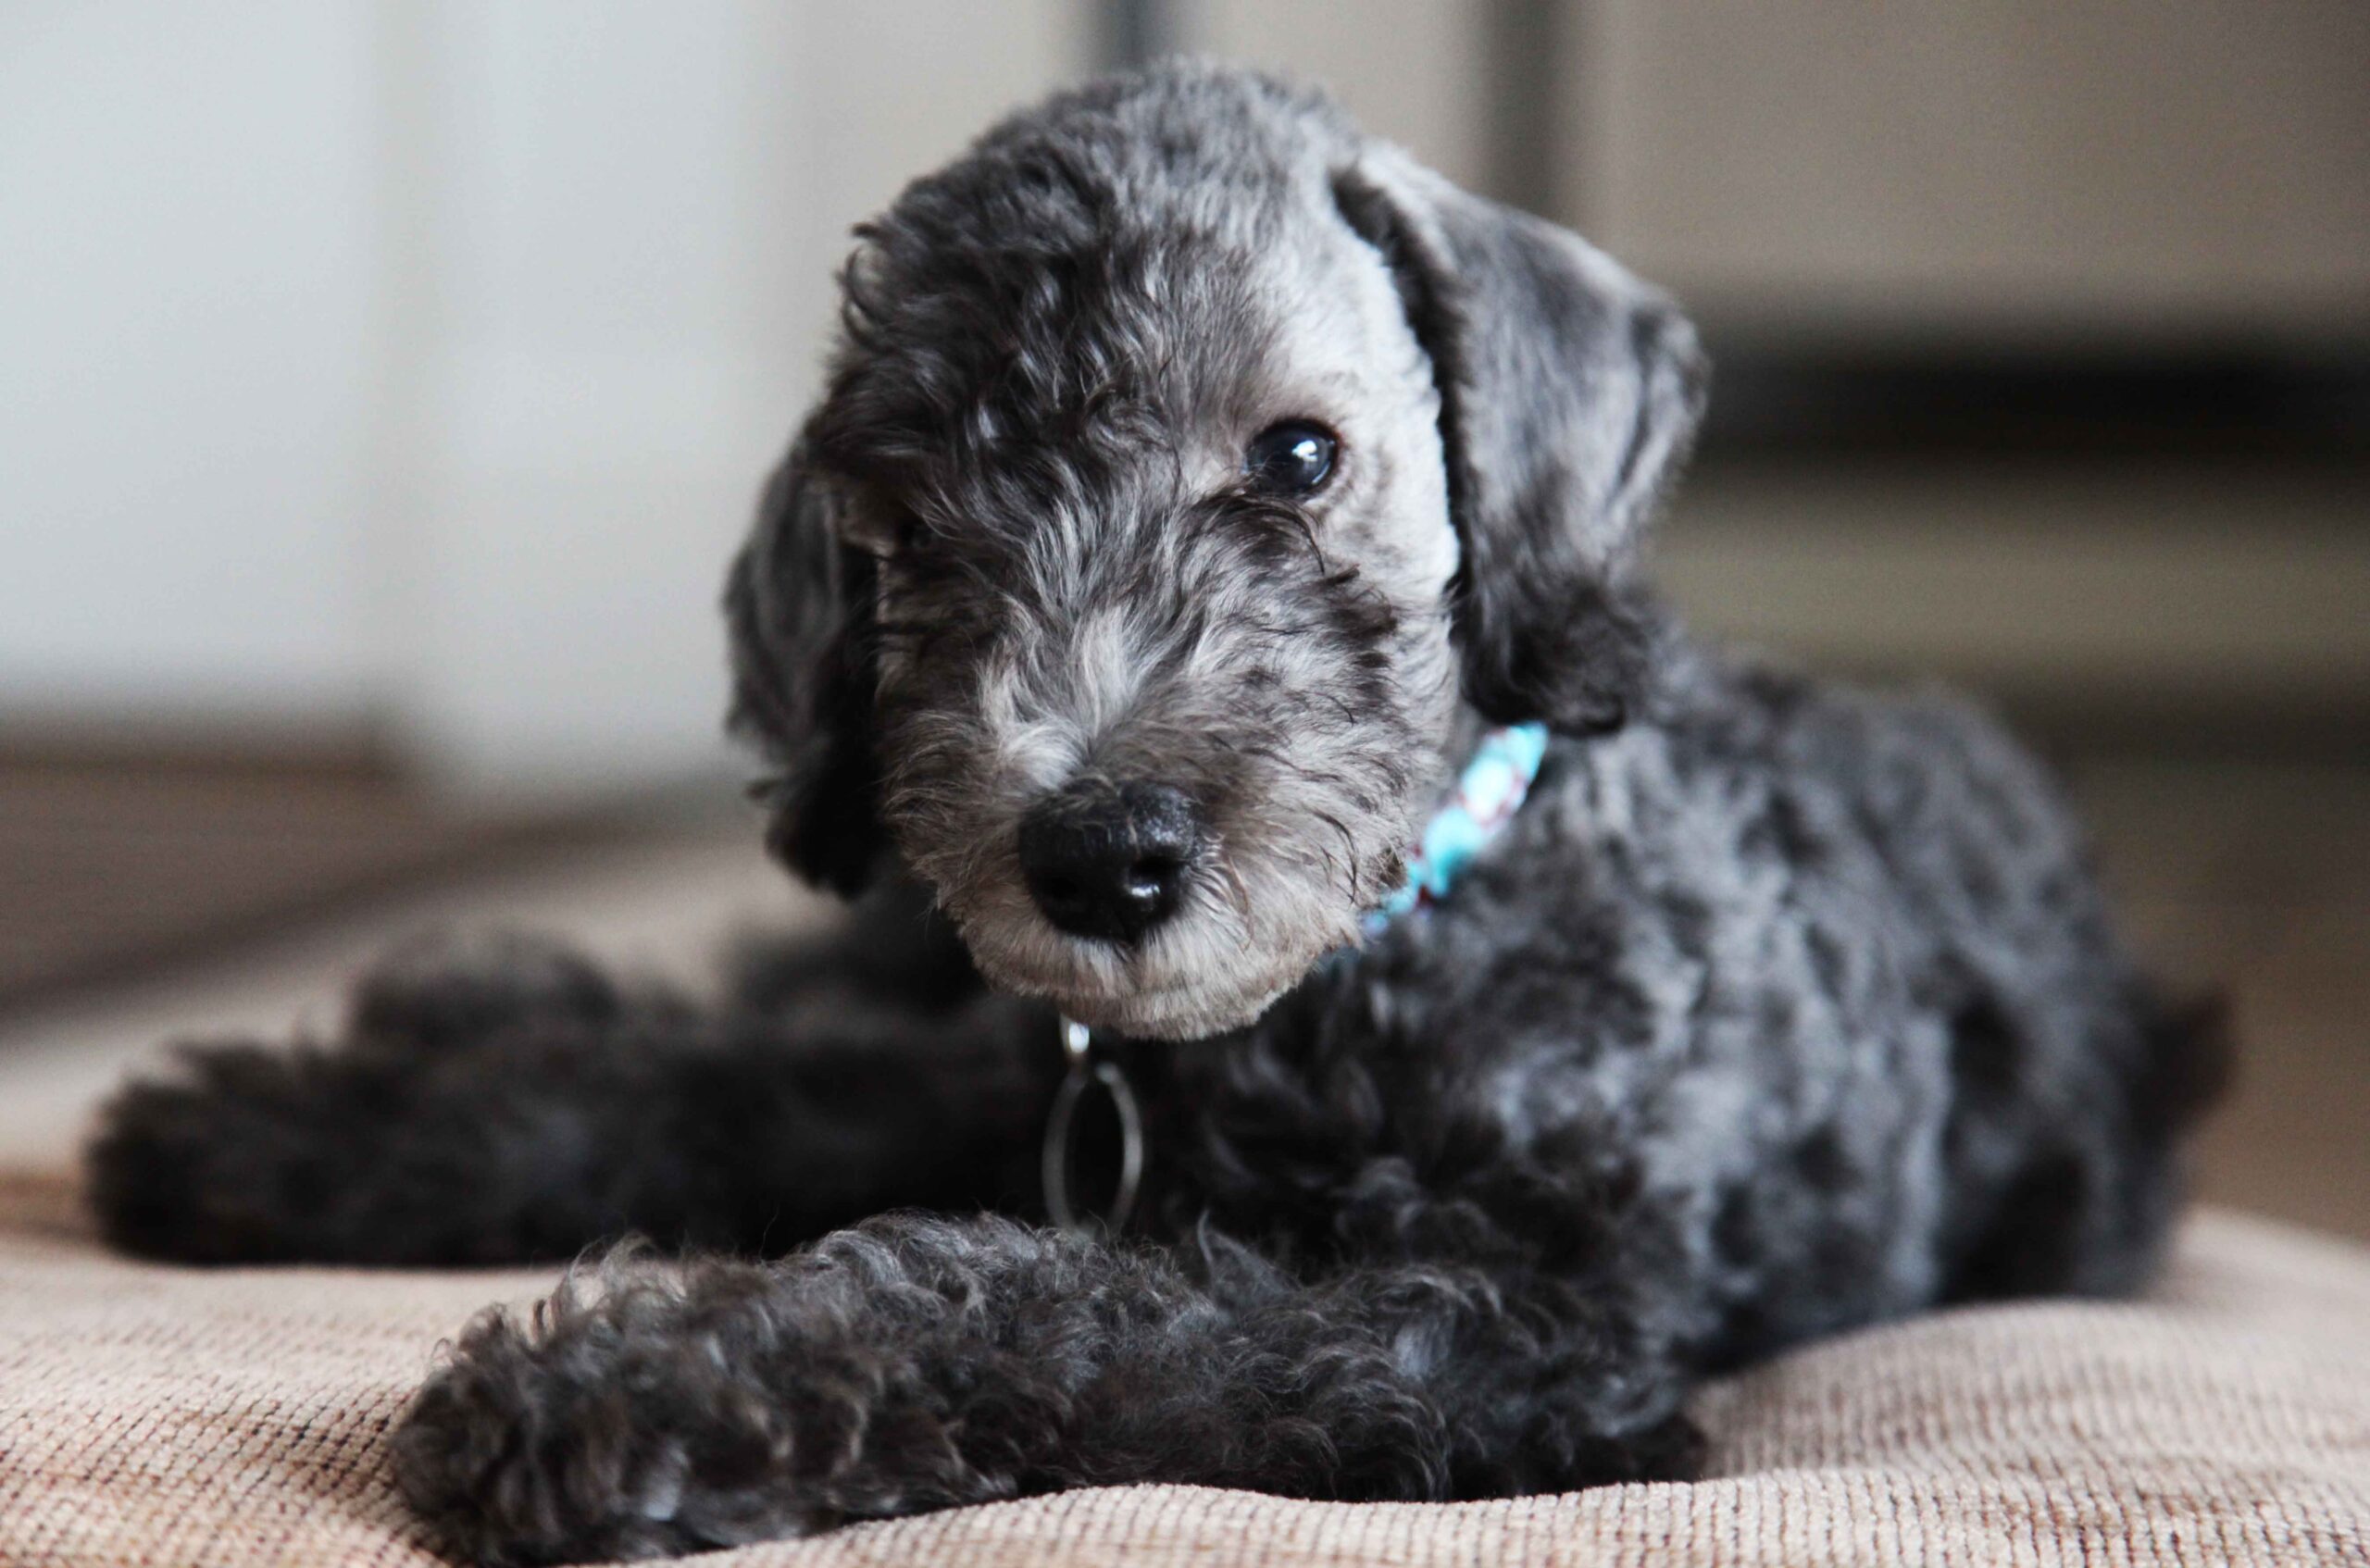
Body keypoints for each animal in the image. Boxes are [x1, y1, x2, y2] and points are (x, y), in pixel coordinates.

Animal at [79, 61, 2218, 1568]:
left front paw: (624, 1389)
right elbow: (713, 1085)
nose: (1097, 858)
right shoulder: (979, 1068)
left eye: (1299, 457)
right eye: (909, 531)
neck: (1373, 957)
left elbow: (1070, 1308)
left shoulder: (1506, 1323)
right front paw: (284, 1130)